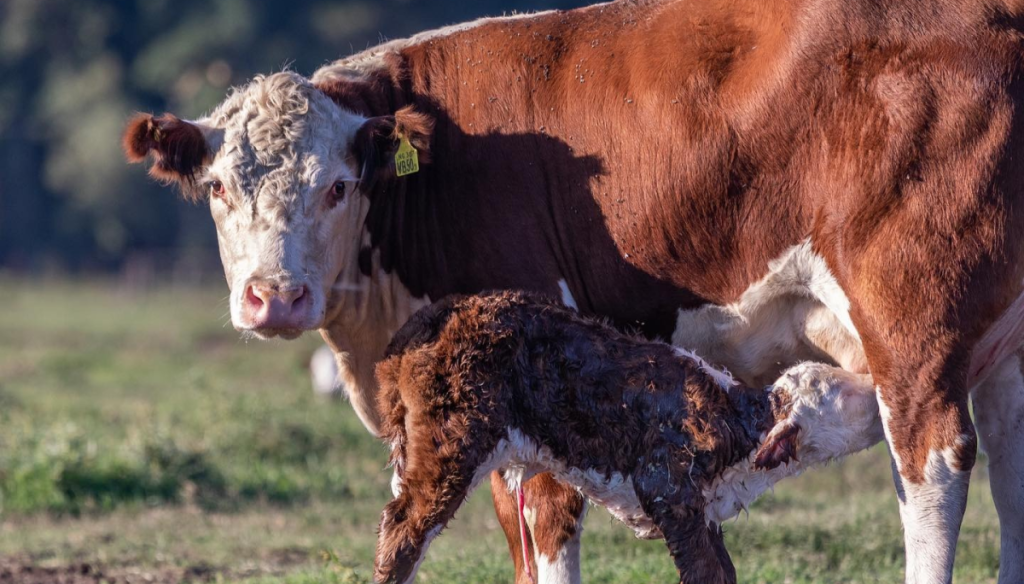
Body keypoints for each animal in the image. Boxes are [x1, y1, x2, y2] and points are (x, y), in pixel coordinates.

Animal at [373, 291, 885, 584]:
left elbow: (724, 569)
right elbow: (705, 572)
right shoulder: (666, 483)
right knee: (404, 531)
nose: (879, 392)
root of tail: (418, 327)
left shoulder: (701, 506)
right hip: (451, 441)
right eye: (840, 393)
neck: (736, 423)